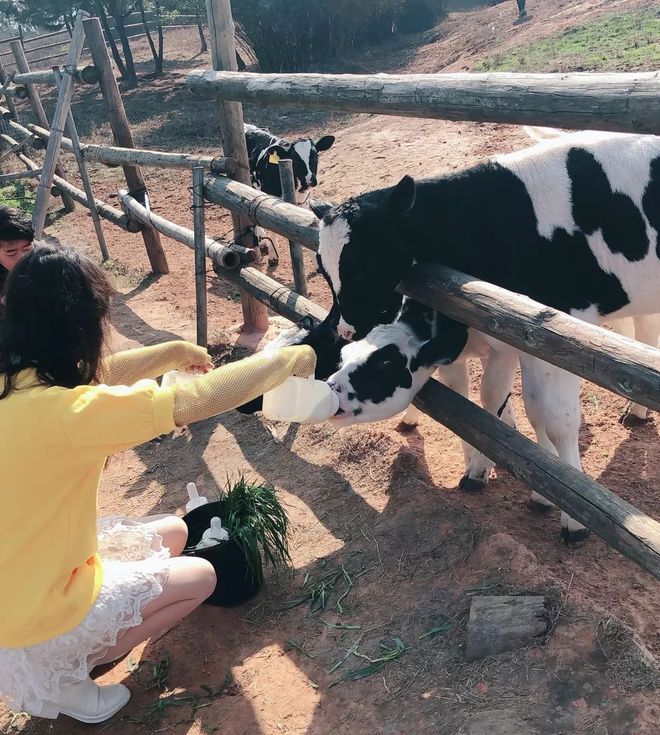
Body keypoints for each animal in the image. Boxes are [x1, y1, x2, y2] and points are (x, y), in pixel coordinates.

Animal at [310, 129, 660, 548]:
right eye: (323, 269)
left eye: (361, 264)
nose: (345, 330)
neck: (502, 220)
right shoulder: (519, 335)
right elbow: (518, 407)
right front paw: (527, 486)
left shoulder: (560, 330)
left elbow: (556, 418)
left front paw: (573, 520)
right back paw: (637, 410)